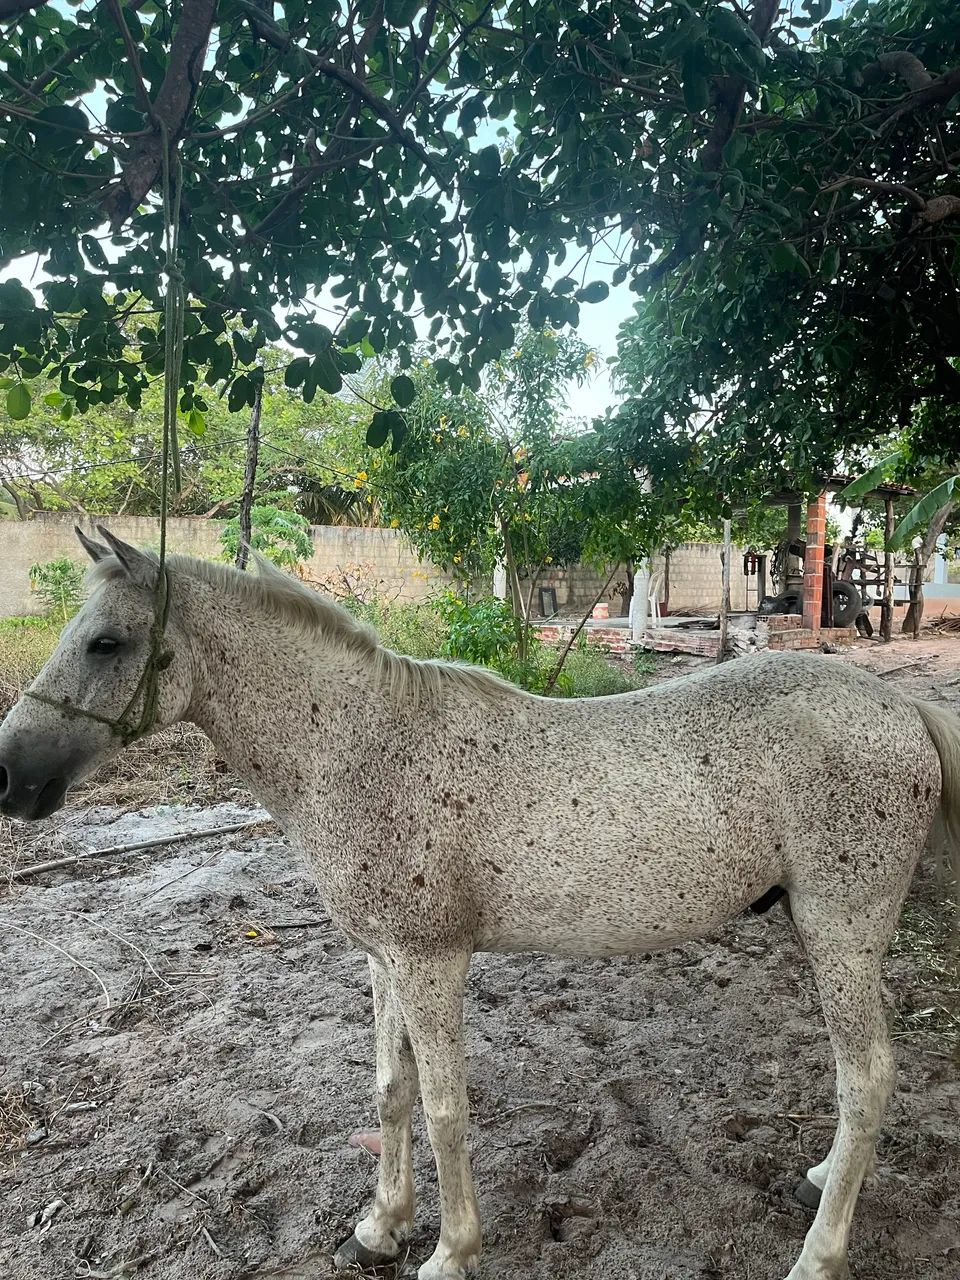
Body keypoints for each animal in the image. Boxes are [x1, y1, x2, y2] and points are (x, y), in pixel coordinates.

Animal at [0, 526, 957, 1280]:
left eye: (106, 643)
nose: (11, 777)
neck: (360, 748)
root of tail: (900, 705)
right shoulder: (384, 958)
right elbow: (390, 1090)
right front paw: (380, 1228)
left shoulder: (431, 963)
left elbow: (444, 1108)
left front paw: (449, 1253)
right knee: (857, 1081)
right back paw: (819, 1180)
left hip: (842, 935)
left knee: (868, 1079)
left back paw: (818, 1255)